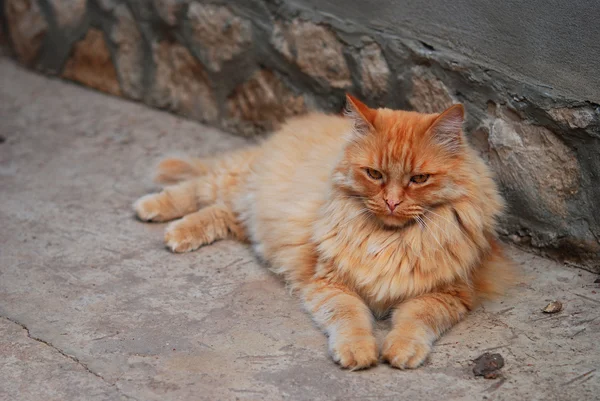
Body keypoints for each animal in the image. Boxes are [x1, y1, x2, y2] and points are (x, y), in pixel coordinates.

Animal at [134, 95, 512, 370]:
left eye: (419, 179)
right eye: (374, 174)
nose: (391, 202)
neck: (391, 239)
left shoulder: (445, 295)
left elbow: (415, 321)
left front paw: (401, 352)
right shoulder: (331, 284)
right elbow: (352, 319)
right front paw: (358, 352)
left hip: (247, 216)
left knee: (218, 212)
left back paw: (179, 231)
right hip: (234, 184)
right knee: (196, 189)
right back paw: (155, 212)